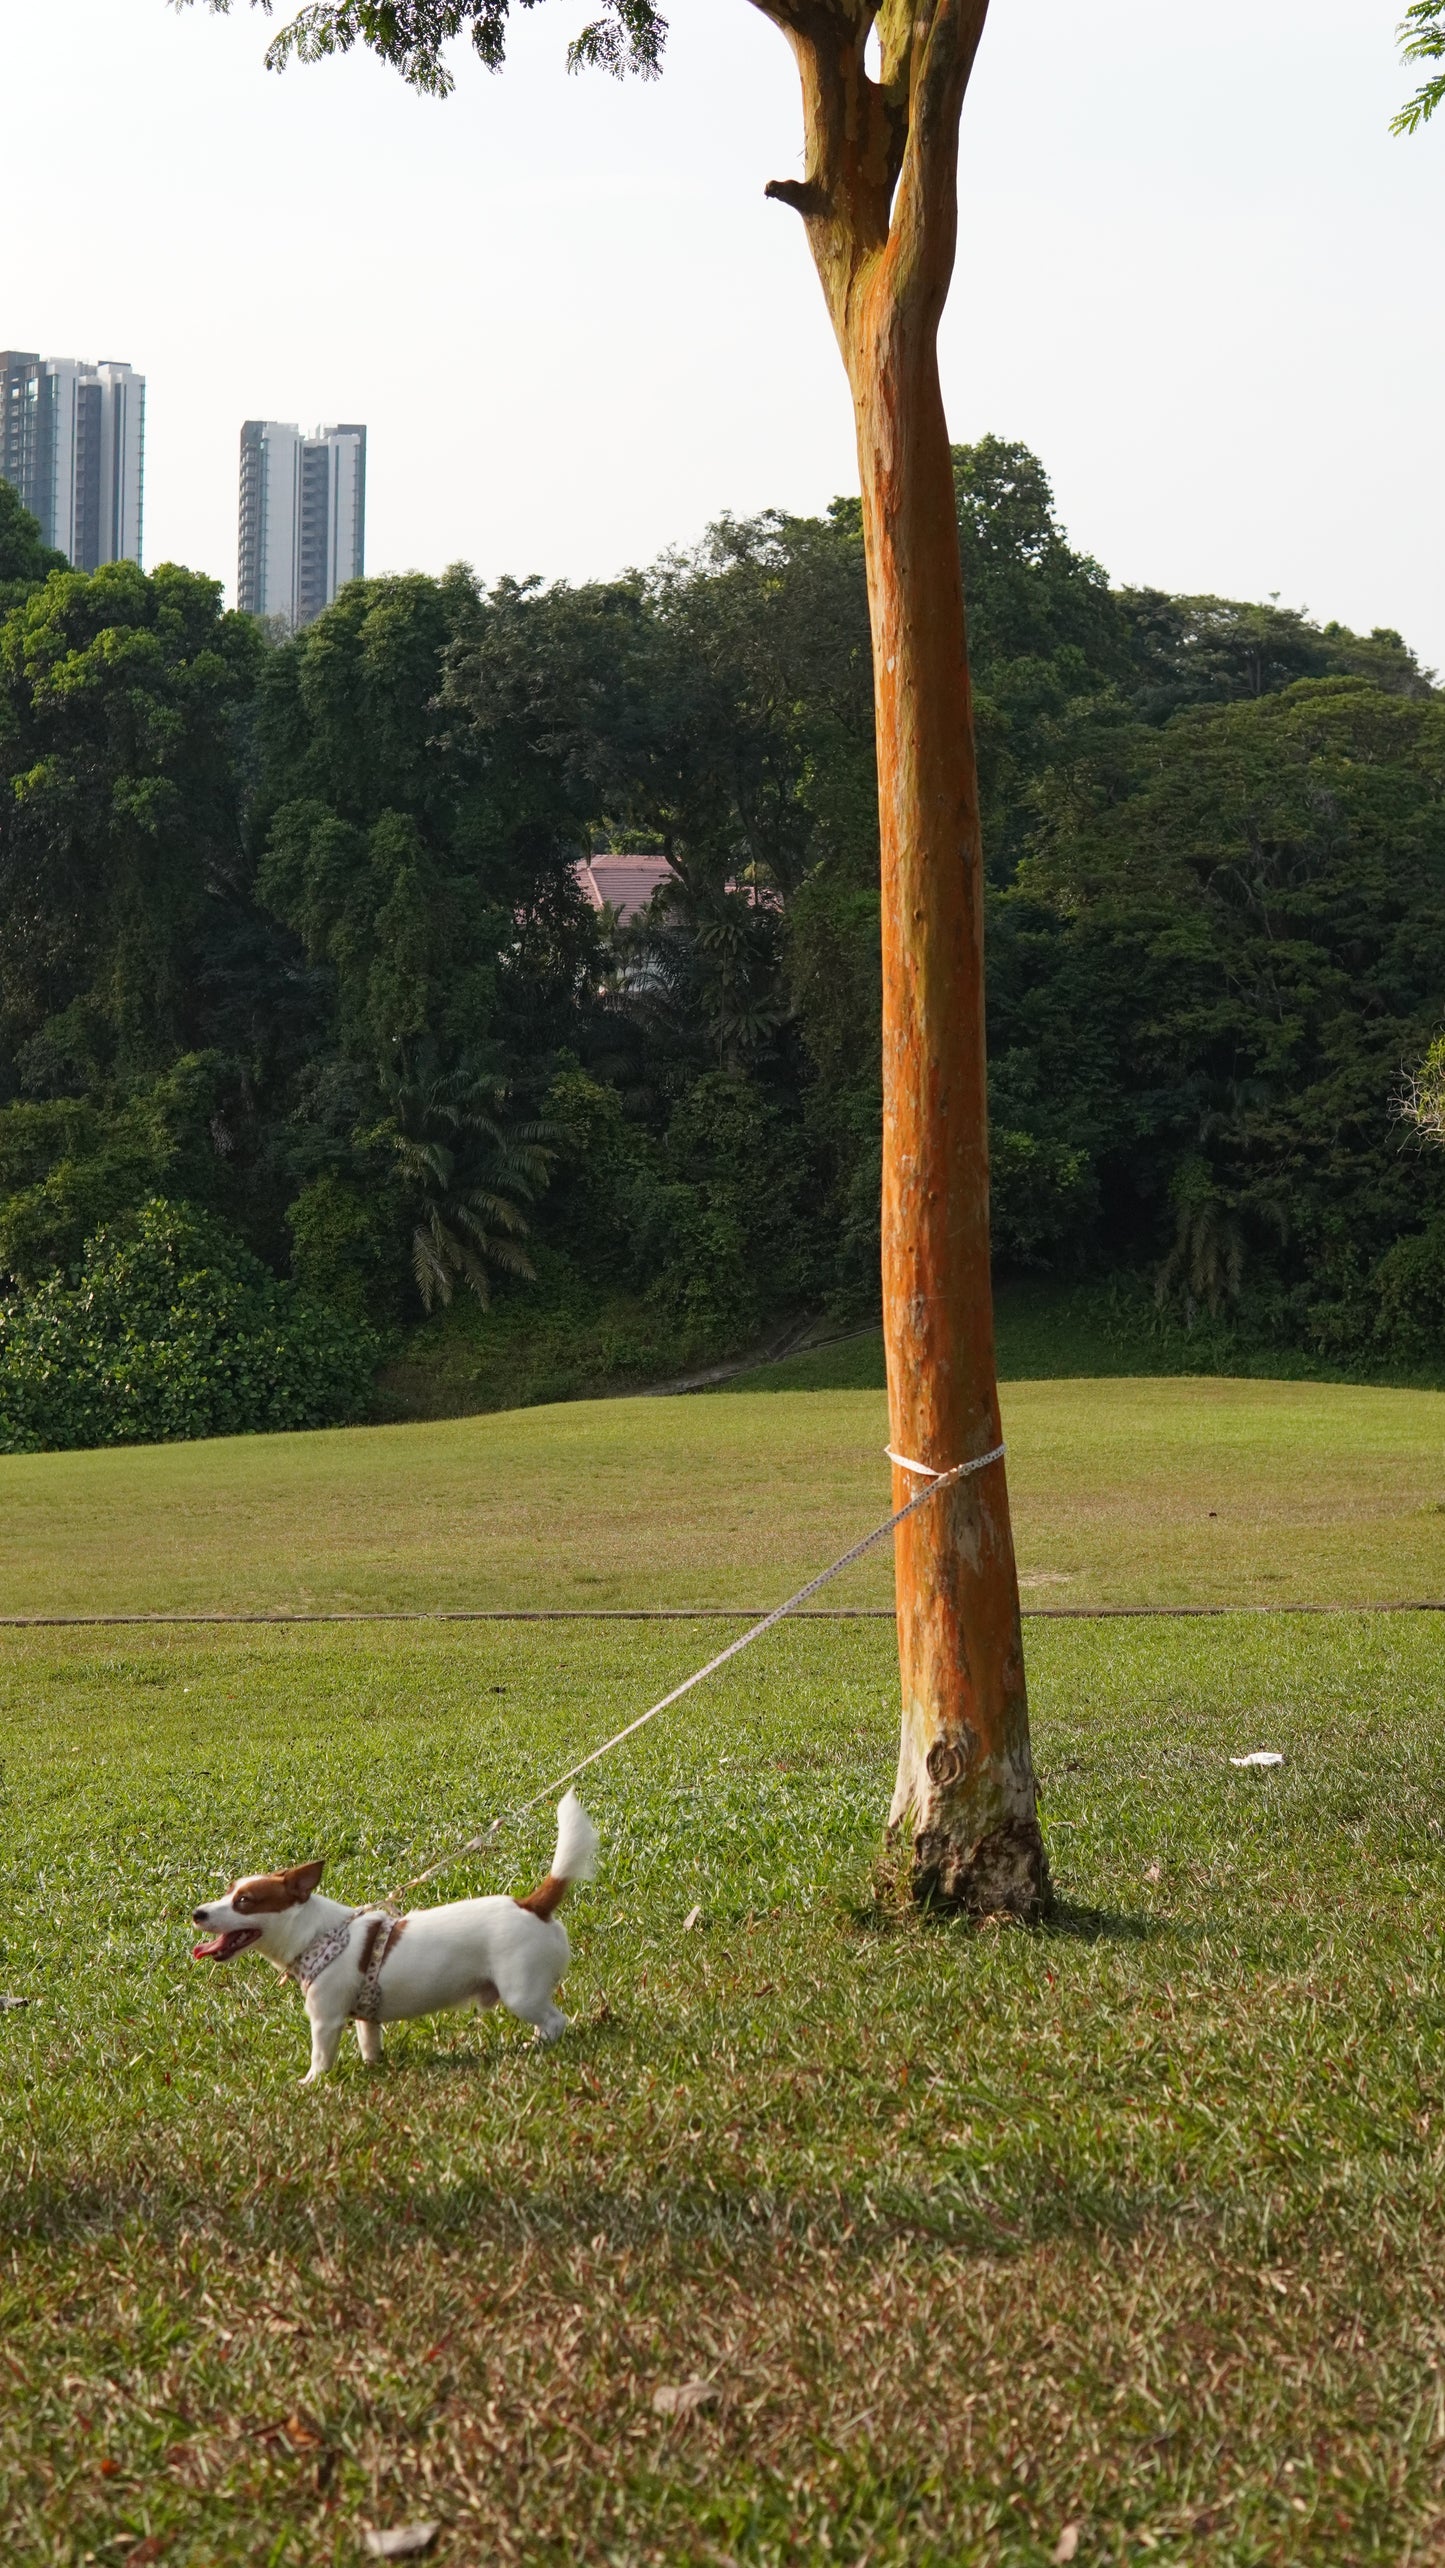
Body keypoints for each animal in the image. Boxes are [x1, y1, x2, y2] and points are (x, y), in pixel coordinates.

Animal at [192, 1797, 600, 2074]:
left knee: (555, 2022)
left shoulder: (325, 2020)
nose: (197, 1913)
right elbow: (369, 2043)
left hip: (520, 1992)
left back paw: (538, 2046)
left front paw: (311, 2085)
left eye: (244, 1902)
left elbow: (320, 2058)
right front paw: (373, 2067)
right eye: (228, 1891)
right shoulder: (365, 2019)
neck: (317, 1935)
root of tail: (532, 1905)